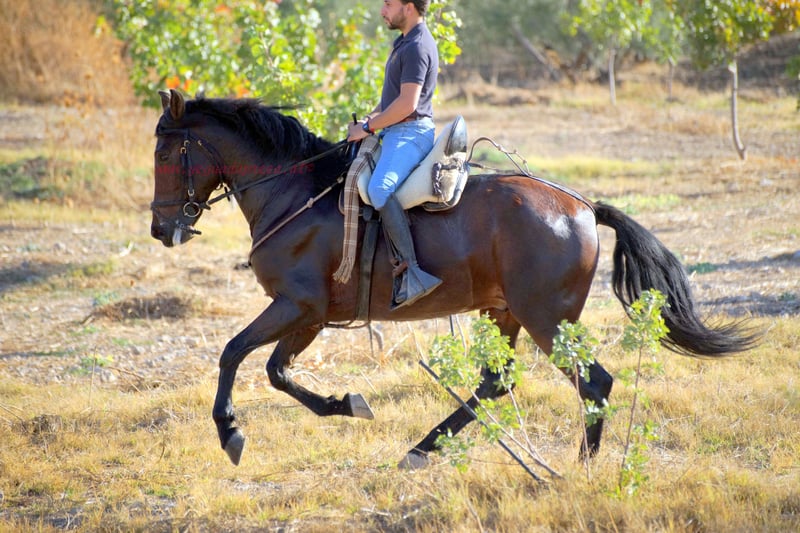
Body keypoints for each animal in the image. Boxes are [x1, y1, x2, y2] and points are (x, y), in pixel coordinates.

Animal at [150, 89, 756, 469]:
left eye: (164, 153)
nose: (160, 228)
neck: (294, 191)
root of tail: (583, 206)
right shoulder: (311, 316)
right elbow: (278, 372)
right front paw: (347, 404)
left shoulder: (296, 306)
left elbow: (234, 352)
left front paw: (230, 431)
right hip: (504, 311)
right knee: (498, 383)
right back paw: (422, 449)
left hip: (546, 318)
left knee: (593, 382)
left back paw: (580, 466)